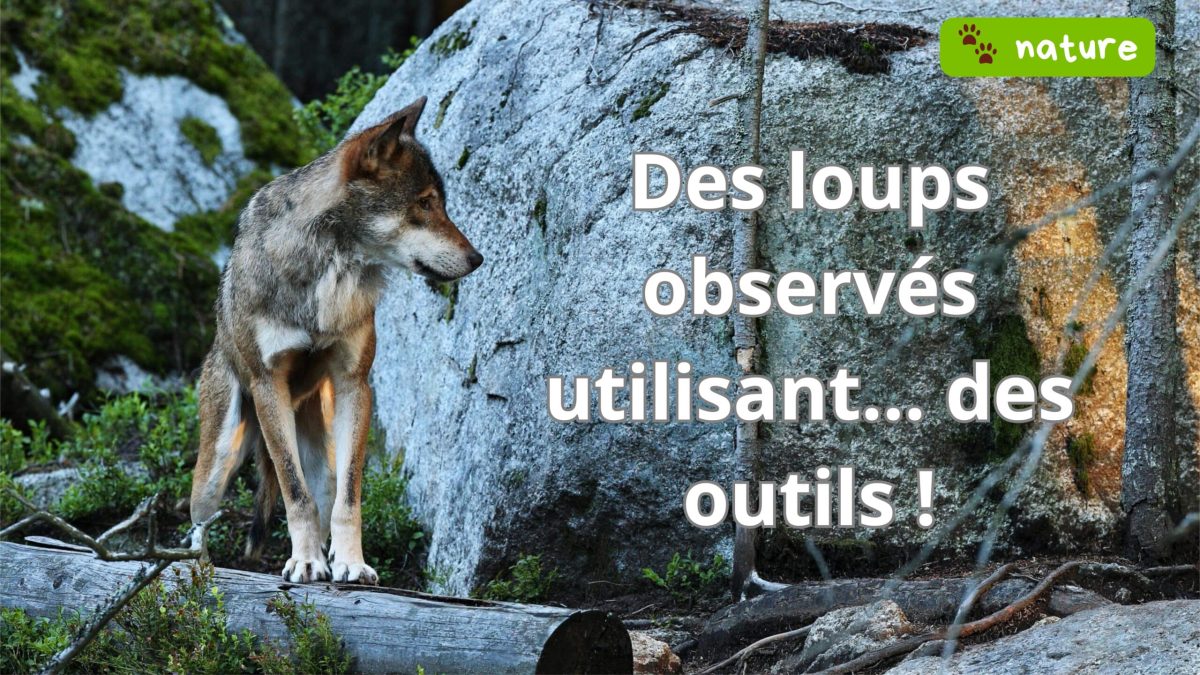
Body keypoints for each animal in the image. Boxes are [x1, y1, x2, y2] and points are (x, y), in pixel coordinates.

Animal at [189, 97, 481, 584]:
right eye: (424, 203)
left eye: (441, 204)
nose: (477, 258)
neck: (330, 268)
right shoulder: (268, 385)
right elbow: (294, 493)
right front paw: (305, 563)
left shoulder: (353, 385)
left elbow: (349, 499)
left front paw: (350, 564)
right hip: (220, 458)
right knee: (199, 519)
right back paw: (195, 571)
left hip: (319, 436)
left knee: (325, 492)